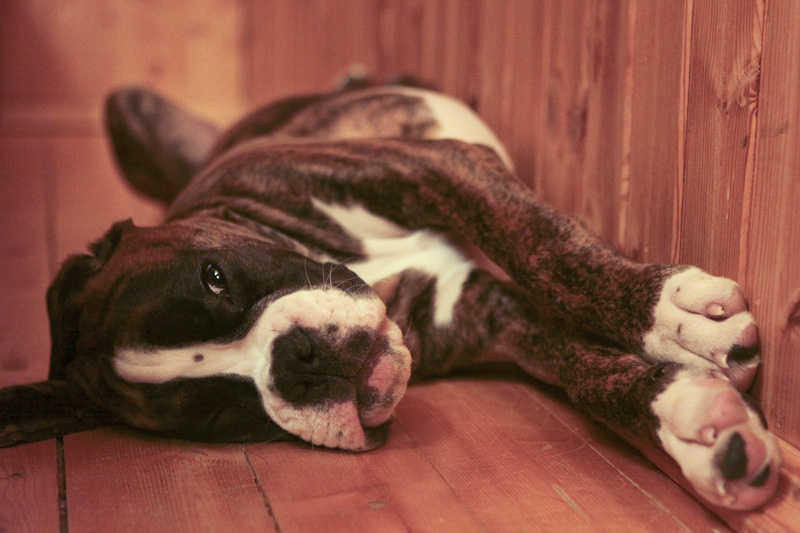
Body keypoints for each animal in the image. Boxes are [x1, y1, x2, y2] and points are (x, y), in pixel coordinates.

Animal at [0, 77, 780, 510]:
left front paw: (672, 317)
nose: (300, 361)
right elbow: (586, 372)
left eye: (216, 275)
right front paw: (694, 425)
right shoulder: (495, 316)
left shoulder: (435, 167)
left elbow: (546, 248)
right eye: (217, 414)